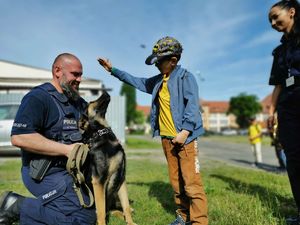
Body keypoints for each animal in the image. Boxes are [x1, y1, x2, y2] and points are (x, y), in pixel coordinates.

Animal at [79, 91, 136, 225]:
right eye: (90, 102)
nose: (105, 92)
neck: (102, 133)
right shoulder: (98, 181)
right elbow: (100, 211)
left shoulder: (121, 178)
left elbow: (125, 205)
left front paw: (131, 222)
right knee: (108, 211)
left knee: (115, 209)